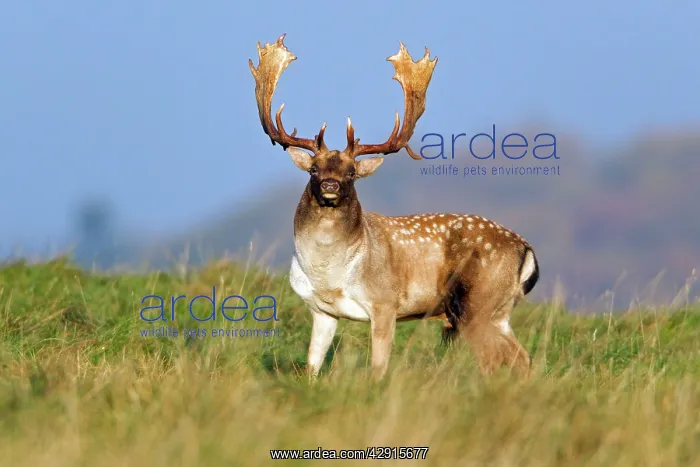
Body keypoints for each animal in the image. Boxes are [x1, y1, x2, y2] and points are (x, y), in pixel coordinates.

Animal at [249, 34, 539, 380]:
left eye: (351, 172)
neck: (329, 276)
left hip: (477, 302)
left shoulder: (385, 302)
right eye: (314, 169)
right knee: (520, 358)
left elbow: (378, 367)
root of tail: (526, 251)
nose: (330, 185)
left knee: (497, 359)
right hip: (498, 310)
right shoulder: (322, 311)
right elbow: (312, 365)